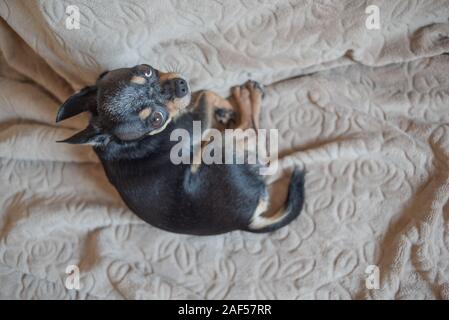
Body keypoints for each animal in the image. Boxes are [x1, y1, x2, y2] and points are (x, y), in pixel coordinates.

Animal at [54, 65, 302, 235]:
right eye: (156, 119)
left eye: (145, 70)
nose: (180, 85)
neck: (122, 143)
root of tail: (247, 221)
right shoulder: (194, 124)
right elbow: (206, 94)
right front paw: (227, 105)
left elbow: (201, 95)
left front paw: (223, 109)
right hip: (217, 148)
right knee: (253, 131)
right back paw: (248, 96)